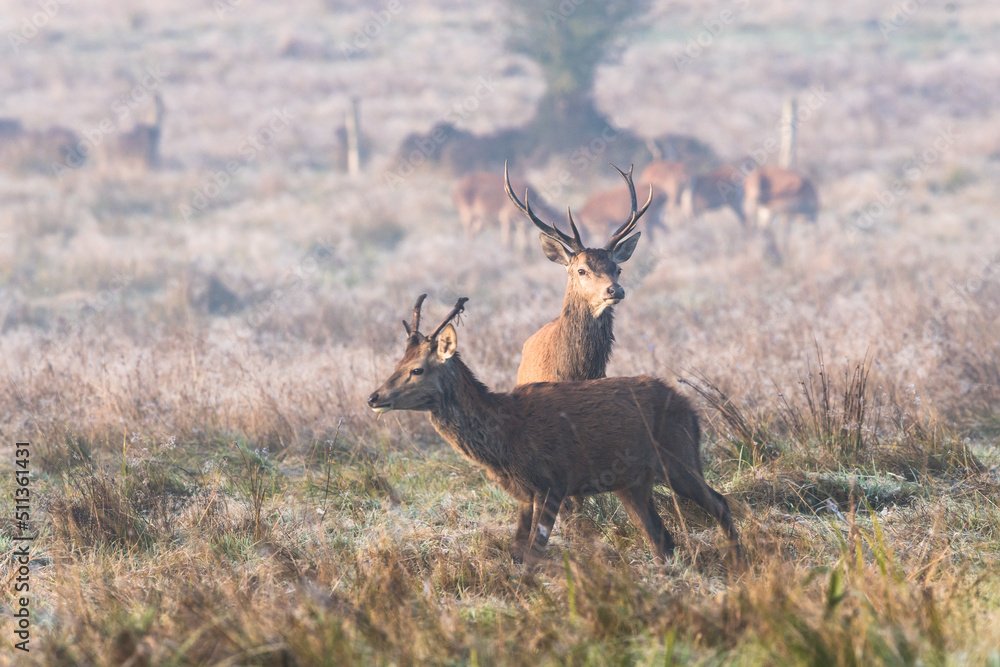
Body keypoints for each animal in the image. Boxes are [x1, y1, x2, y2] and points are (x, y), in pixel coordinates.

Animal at [370, 296, 744, 564]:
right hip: (633, 482)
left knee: (719, 503)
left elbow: (534, 552)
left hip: (678, 455)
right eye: (397, 363)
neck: (506, 437)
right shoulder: (524, 492)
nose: (374, 397)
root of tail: (690, 408)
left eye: (417, 369)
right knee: (660, 537)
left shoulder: (554, 480)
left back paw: (739, 564)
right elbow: (517, 552)